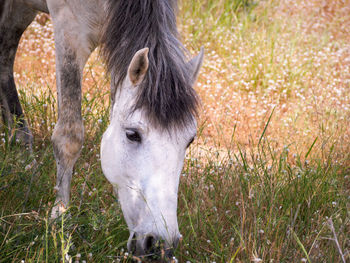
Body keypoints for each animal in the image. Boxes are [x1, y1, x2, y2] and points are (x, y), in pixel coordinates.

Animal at [0, 0, 204, 260]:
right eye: (132, 134)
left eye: (189, 140)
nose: (160, 245)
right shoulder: (70, 30)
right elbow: (69, 137)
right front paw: (60, 220)